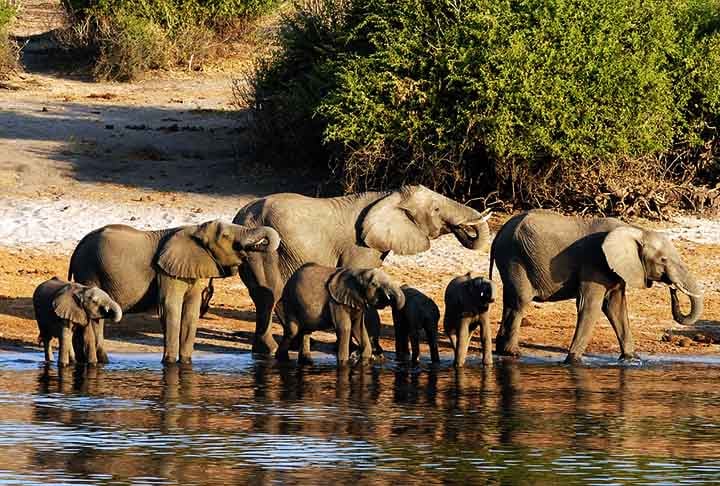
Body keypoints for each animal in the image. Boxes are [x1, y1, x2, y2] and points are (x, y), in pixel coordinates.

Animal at [68, 220, 280, 364]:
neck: (195, 229)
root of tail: (76, 248)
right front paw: (169, 364)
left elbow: (191, 312)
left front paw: (185, 363)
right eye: (226, 236)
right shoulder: (166, 272)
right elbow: (170, 309)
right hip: (88, 270)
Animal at [276, 263, 406, 366]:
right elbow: (345, 328)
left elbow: (358, 328)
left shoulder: (358, 301)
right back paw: (282, 360)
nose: (389, 298)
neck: (359, 272)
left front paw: (363, 361)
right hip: (290, 301)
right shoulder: (336, 302)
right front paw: (344, 364)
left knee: (306, 331)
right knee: (293, 331)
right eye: (374, 284)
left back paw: (306, 362)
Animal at [490, 209, 704, 364]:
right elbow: (590, 306)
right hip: (515, 258)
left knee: (510, 300)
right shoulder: (595, 262)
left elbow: (616, 307)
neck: (635, 230)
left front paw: (632, 359)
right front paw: (573, 361)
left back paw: (503, 351)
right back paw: (514, 353)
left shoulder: (616, 268)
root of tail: (498, 233)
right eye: (663, 260)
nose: (673, 288)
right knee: (520, 301)